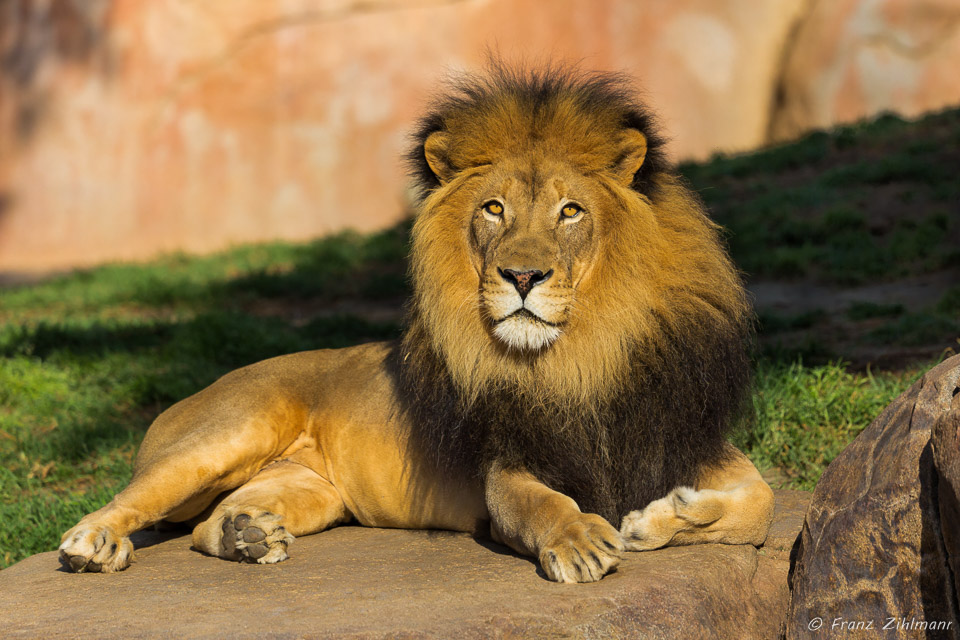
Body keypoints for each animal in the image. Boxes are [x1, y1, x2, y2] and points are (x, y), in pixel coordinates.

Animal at [60, 63, 776, 580]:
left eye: (570, 210)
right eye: (493, 208)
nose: (522, 277)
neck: (584, 353)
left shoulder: (681, 436)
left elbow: (760, 504)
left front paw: (659, 517)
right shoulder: (506, 469)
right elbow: (544, 503)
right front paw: (581, 542)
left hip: (309, 492)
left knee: (208, 526)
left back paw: (247, 536)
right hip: (229, 430)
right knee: (127, 502)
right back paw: (93, 545)